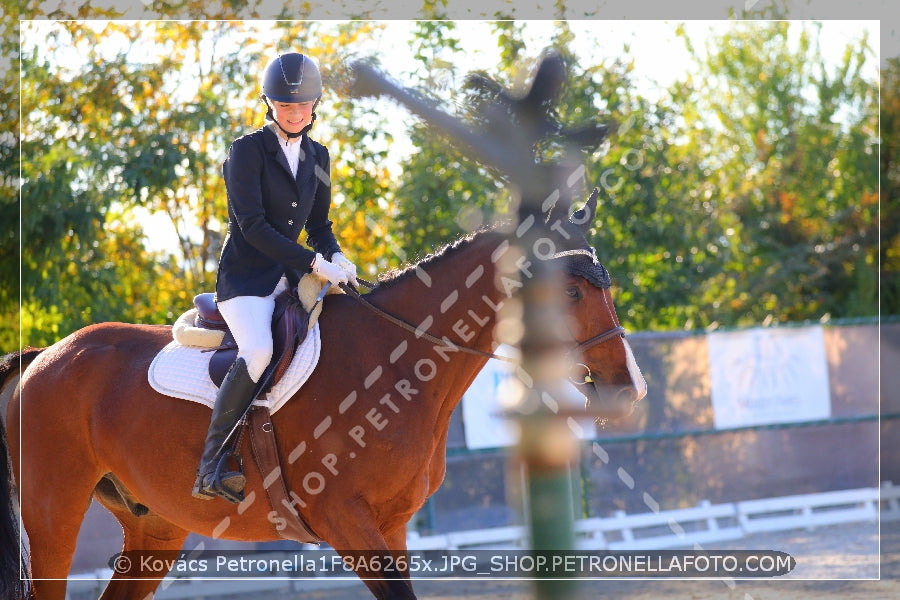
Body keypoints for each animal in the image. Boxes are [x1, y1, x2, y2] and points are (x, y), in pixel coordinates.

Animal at [0, 193, 648, 600]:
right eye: (569, 291)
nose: (628, 387)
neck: (395, 358)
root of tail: (47, 356)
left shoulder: (391, 527)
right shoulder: (345, 520)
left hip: (154, 528)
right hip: (53, 513)